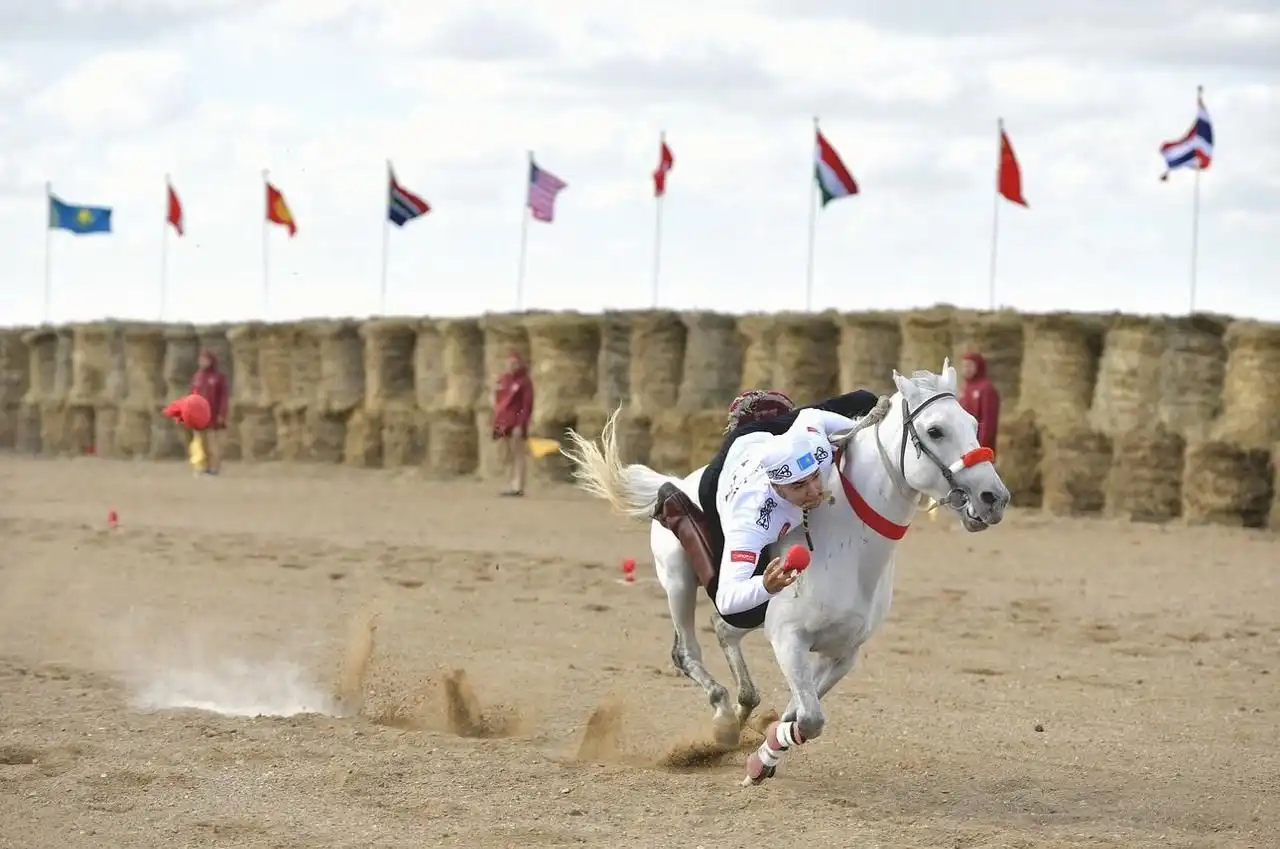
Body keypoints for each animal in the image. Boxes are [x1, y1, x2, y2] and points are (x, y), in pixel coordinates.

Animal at [560, 358, 1008, 783]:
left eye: (974, 424)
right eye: (935, 431)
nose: (994, 497)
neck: (849, 545)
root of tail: (674, 481)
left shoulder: (843, 653)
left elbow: (797, 711)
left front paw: (762, 752)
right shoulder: (788, 638)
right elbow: (810, 719)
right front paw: (758, 762)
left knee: (725, 634)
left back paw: (741, 712)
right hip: (678, 580)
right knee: (687, 651)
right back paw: (723, 719)